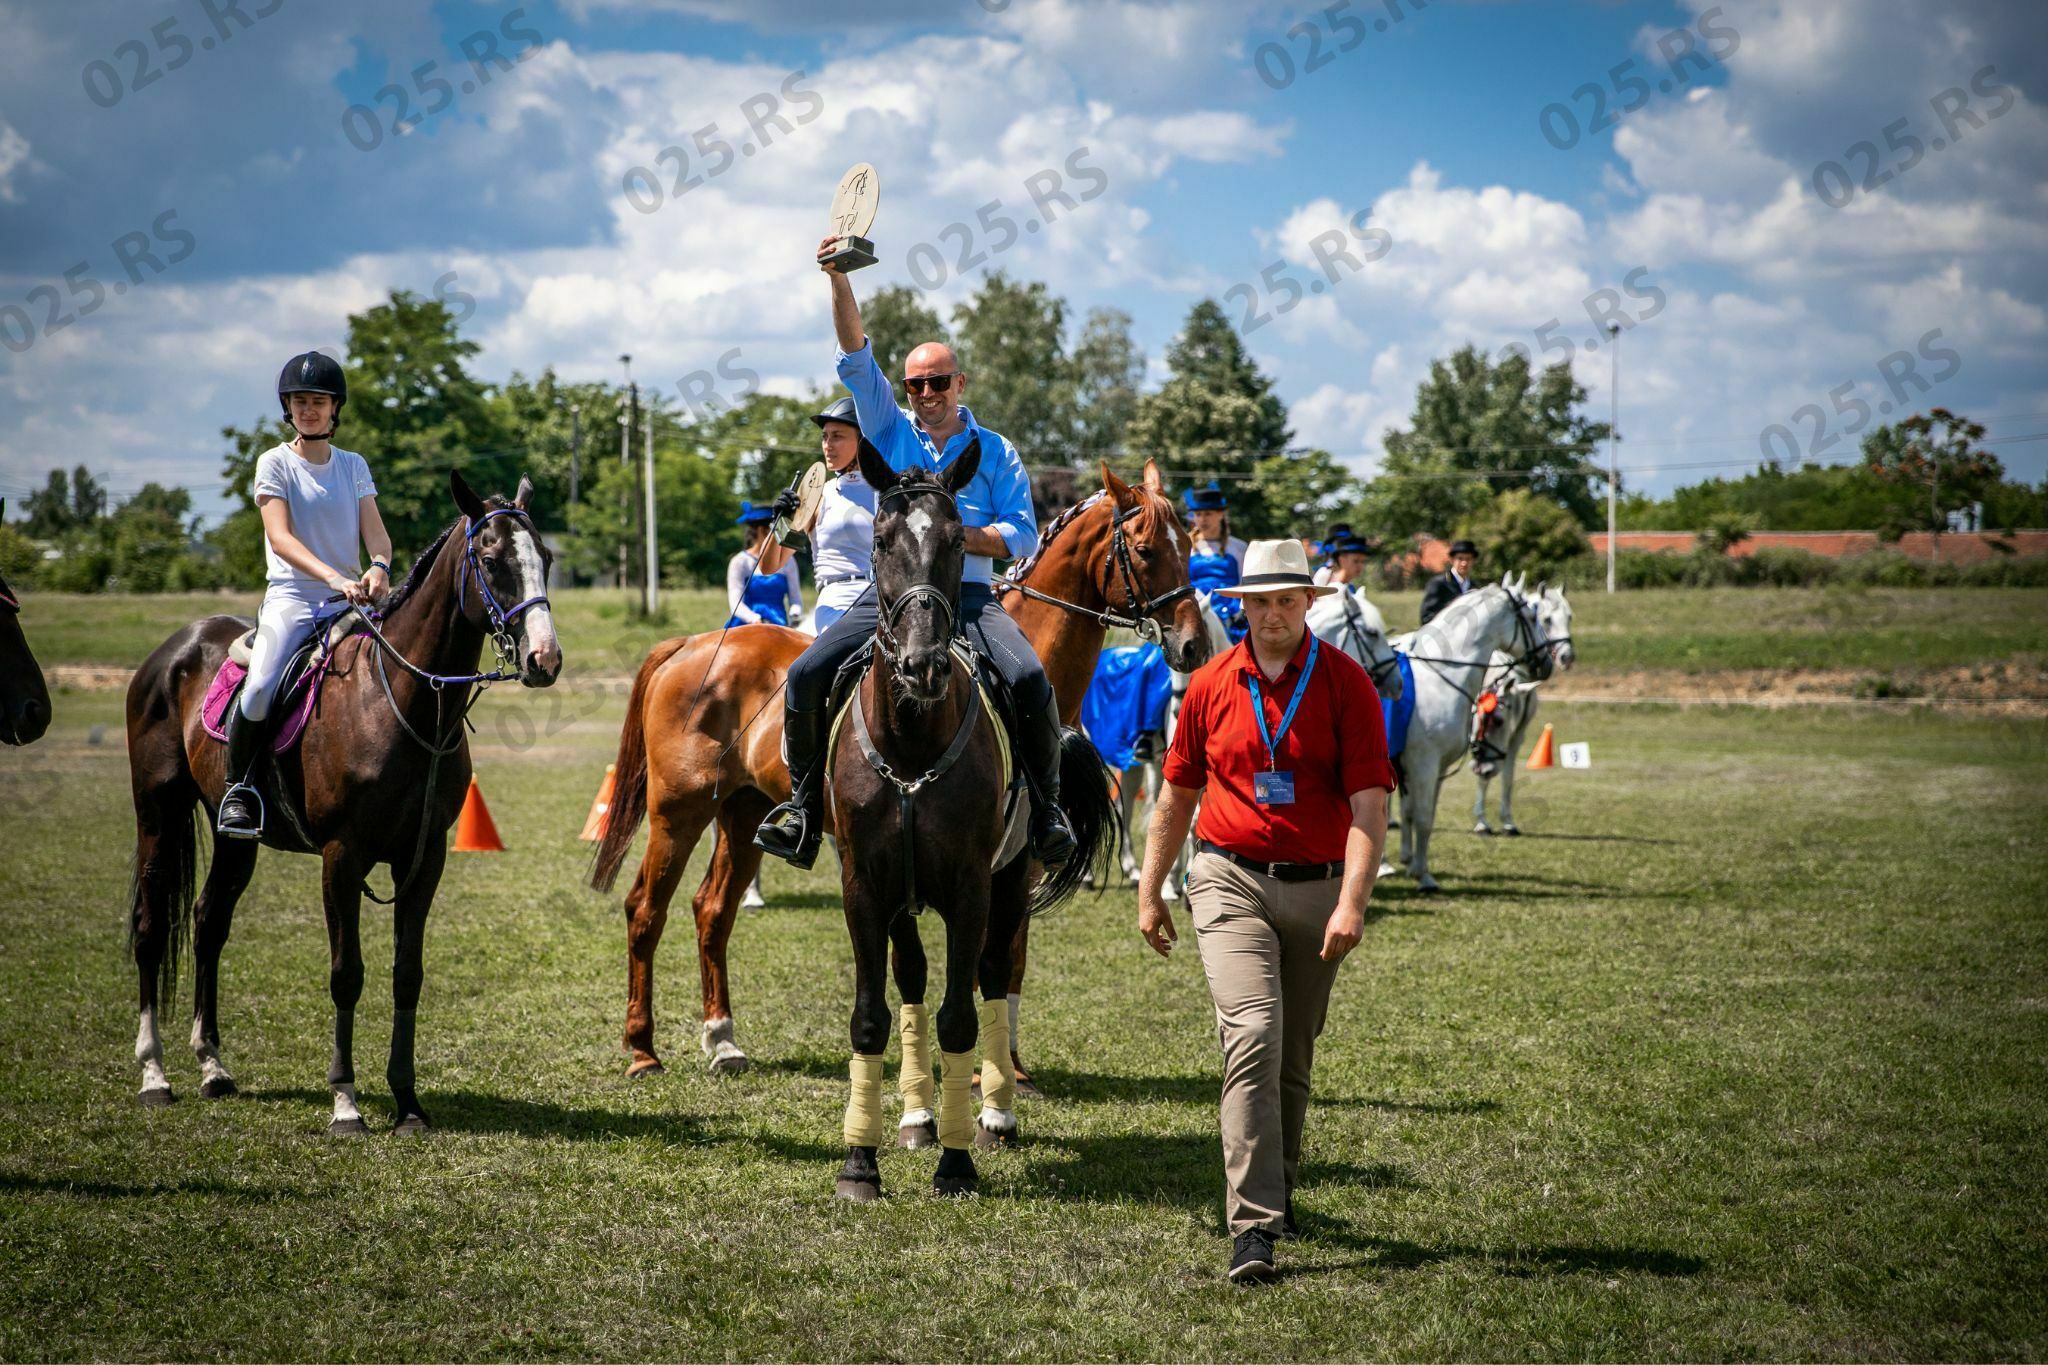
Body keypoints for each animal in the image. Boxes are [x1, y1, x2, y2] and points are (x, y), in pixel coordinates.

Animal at [126, 474, 561, 1137]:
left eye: (547, 559)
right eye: (491, 561)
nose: (544, 660)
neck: (397, 701)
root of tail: (174, 650)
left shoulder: (424, 859)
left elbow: (407, 974)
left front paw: (407, 1102)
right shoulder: (342, 855)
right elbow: (346, 975)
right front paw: (346, 1103)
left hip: (233, 838)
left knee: (208, 921)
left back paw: (213, 1068)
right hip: (158, 813)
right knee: (152, 928)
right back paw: (155, 1075)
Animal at [585, 462, 1204, 1088]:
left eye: (1189, 545)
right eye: (1147, 550)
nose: (1193, 644)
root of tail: (690, 644)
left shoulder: (1018, 859)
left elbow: (1008, 961)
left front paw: (1009, 1067)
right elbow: (973, 964)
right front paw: (976, 1074)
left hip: (743, 812)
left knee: (712, 910)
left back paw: (723, 1040)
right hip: (679, 812)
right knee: (646, 909)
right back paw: (643, 1049)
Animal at [1392, 577, 1548, 896]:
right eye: (1530, 616)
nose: (1547, 662)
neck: (1438, 678)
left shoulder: (1428, 770)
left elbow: (1415, 814)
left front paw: (1413, 866)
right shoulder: (1423, 766)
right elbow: (1423, 818)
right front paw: (1424, 878)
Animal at [1474, 585, 1581, 834]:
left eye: (1570, 616)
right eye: (1547, 620)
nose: (1567, 657)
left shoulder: (1514, 735)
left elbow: (1507, 776)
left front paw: (1507, 821)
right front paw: (1482, 822)